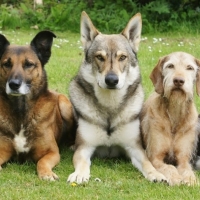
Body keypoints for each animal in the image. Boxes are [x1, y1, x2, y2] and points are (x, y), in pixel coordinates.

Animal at [0, 30, 75, 180]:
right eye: (7, 64)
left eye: (29, 64)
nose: (14, 84)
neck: (21, 112)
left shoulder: (51, 152)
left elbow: (42, 162)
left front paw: (46, 173)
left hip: (64, 105)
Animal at [66, 11, 166, 184]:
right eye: (100, 57)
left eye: (122, 57)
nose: (112, 80)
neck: (110, 107)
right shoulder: (84, 147)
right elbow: (82, 162)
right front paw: (79, 174)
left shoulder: (135, 148)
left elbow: (147, 163)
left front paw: (156, 174)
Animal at [140, 51, 200, 186]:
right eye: (170, 66)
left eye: (190, 68)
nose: (178, 80)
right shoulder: (155, 157)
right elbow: (169, 167)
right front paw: (175, 177)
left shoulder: (183, 158)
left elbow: (187, 169)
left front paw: (190, 179)